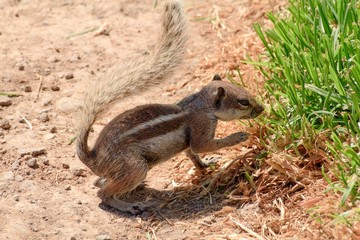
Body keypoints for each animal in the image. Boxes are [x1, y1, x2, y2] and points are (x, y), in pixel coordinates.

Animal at [75, 0, 264, 214]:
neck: (202, 104)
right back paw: (130, 206)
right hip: (135, 166)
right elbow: (203, 146)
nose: (262, 109)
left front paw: (206, 164)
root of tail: (92, 157)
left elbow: (193, 154)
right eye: (243, 101)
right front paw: (238, 136)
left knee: (99, 182)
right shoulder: (201, 125)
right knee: (103, 193)